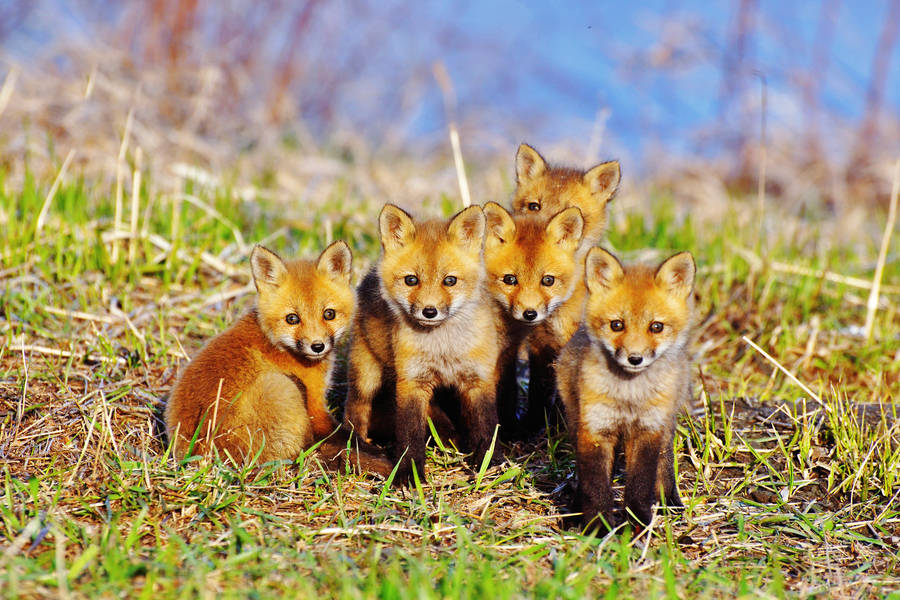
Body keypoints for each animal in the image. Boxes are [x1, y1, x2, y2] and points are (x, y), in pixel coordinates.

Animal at [164, 242, 392, 476]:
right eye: (292, 319)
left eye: (329, 314)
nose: (317, 346)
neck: (278, 344)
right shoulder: (315, 407)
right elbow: (348, 436)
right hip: (282, 386)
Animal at [343, 204, 504, 483]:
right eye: (411, 280)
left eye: (449, 281)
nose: (429, 311)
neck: (443, 349)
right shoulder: (411, 382)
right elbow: (410, 435)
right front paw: (410, 474)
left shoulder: (478, 379)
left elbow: (486, 425)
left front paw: (488, 463)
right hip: (366, 374)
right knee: (355, 409)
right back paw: (358, 446)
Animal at [556, 247, 696, 532]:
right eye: (617, 325)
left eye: (656, 327)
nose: (635, 358)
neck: (628, 397)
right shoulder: (594, 429)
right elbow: (595, 485)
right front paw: (598, 527)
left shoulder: (648, 431)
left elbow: (640, 485)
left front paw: (639, 523)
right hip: (576, 418)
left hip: (666, 424)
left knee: (665, 461)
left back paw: (669, 500)